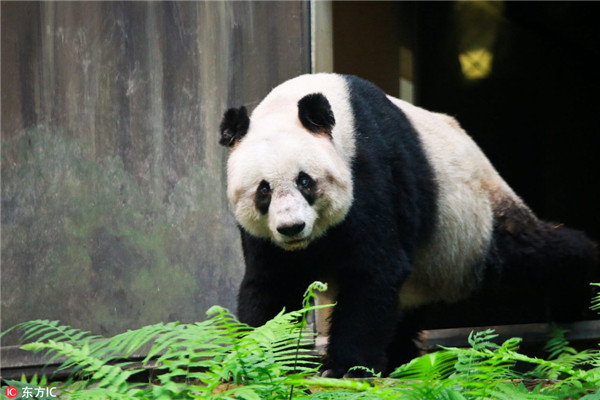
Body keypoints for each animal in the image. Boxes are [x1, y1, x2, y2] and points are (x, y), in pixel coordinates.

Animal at [218, 74, 596, 378]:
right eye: (263, 190)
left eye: (305, 181)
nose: (292, 227)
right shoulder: (265, 238)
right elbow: (272, 285)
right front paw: (256, 356)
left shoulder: (371, 170)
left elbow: (374, 269)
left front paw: (344, 368)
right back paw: (401, 357)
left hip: (474, 221)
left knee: (530, 252)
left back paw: (577, 294)